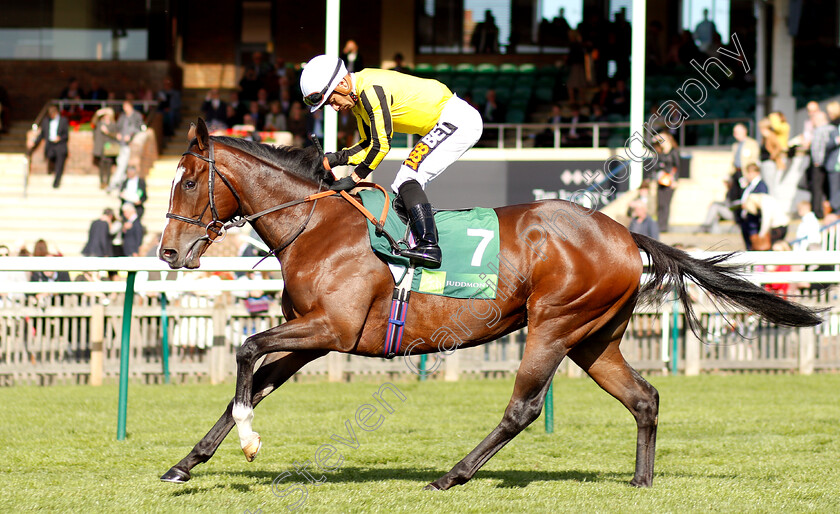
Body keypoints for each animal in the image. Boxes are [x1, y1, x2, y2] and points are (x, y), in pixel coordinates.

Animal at [158, 119, 820, 488]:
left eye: (188, 180)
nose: (168, 251)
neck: (315, 225)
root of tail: (623, 232)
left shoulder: (333, 329)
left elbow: (246, 351)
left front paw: (247, 444)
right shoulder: (310, 333)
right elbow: (253, 381)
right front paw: (187, 462)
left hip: (554, 324)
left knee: (522, 409)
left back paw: (451, 476)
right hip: (594, 339)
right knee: (644, 398)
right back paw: (640, 481)